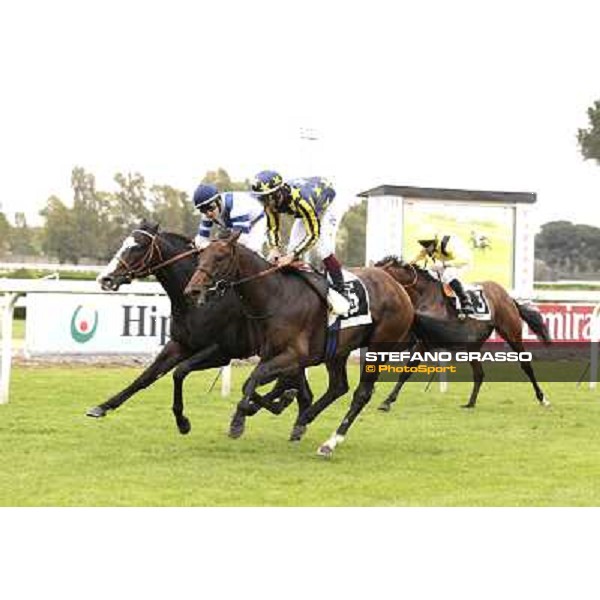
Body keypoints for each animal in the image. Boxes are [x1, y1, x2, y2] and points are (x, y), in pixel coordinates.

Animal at [185, 232, 414, 458]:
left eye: (220, 257)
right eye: (200, 256)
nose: (192, 290)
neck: (277, 296)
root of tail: (396, 285)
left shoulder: (294, 355)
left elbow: (256, 379)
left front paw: (239, 421)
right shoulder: (272, 354)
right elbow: (254, 382)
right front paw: (271, 405)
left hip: (378, 348)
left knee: (362, 394)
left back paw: (330, 443)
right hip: (338, 351)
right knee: (338, 386)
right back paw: (305, 418)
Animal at [376, 255, 552, 410]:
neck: (425, 295)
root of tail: (507, 296)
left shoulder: (429, 338)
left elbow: (408, 366)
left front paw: (387, 400)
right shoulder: (415, 339)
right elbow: (402, 366)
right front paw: (385, 398)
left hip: (511, 332)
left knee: (526, 364)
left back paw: (542, 398)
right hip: (472, 346)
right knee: (479, 374)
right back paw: (470, 403)